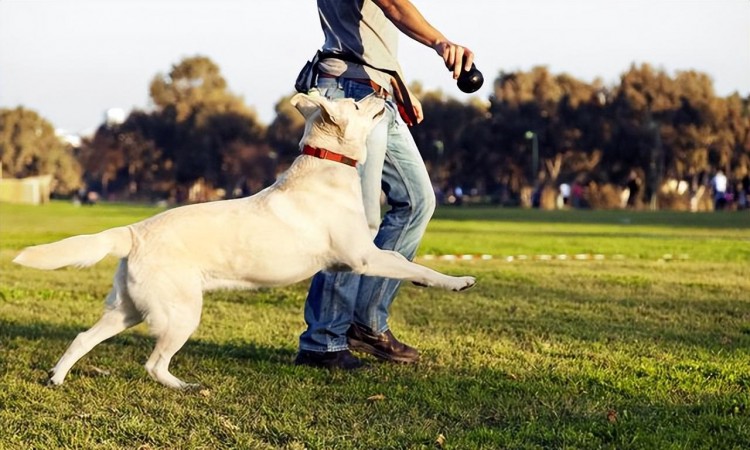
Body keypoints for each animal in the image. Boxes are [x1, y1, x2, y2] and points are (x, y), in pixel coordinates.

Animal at [14, 93, 476, 388]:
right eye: (359, 104)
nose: (382, 93)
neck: (326, 167)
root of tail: (134, 232)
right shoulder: (363, 257)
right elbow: (411, 263)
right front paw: (456, 282)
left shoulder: (356, 260)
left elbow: (402, 263)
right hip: (181, 314)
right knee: (153, 363)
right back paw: (184, 386)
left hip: (127, 310)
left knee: (82, 338)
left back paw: (57, 378)